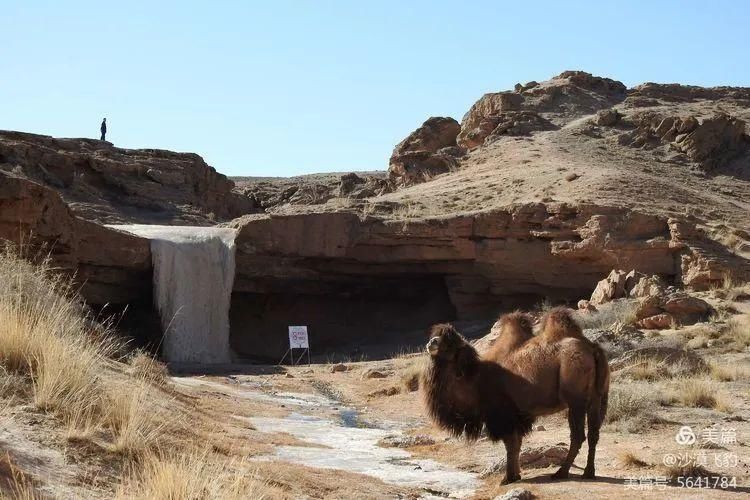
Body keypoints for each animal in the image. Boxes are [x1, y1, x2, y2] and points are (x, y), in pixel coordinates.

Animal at [424, 308, 612, 484]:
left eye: (449, 343)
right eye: (436, 336)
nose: (431, 342)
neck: (474, 378)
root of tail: (592, 349)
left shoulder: (503, 412)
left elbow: (510, 444)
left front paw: (508, 478)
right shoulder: (518, 414)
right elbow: (517, 444)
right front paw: (516, 475)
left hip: (575, 399)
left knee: (578, 435)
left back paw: (561, 472)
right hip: (597, 398)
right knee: (594, 433)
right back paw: (589, 472)